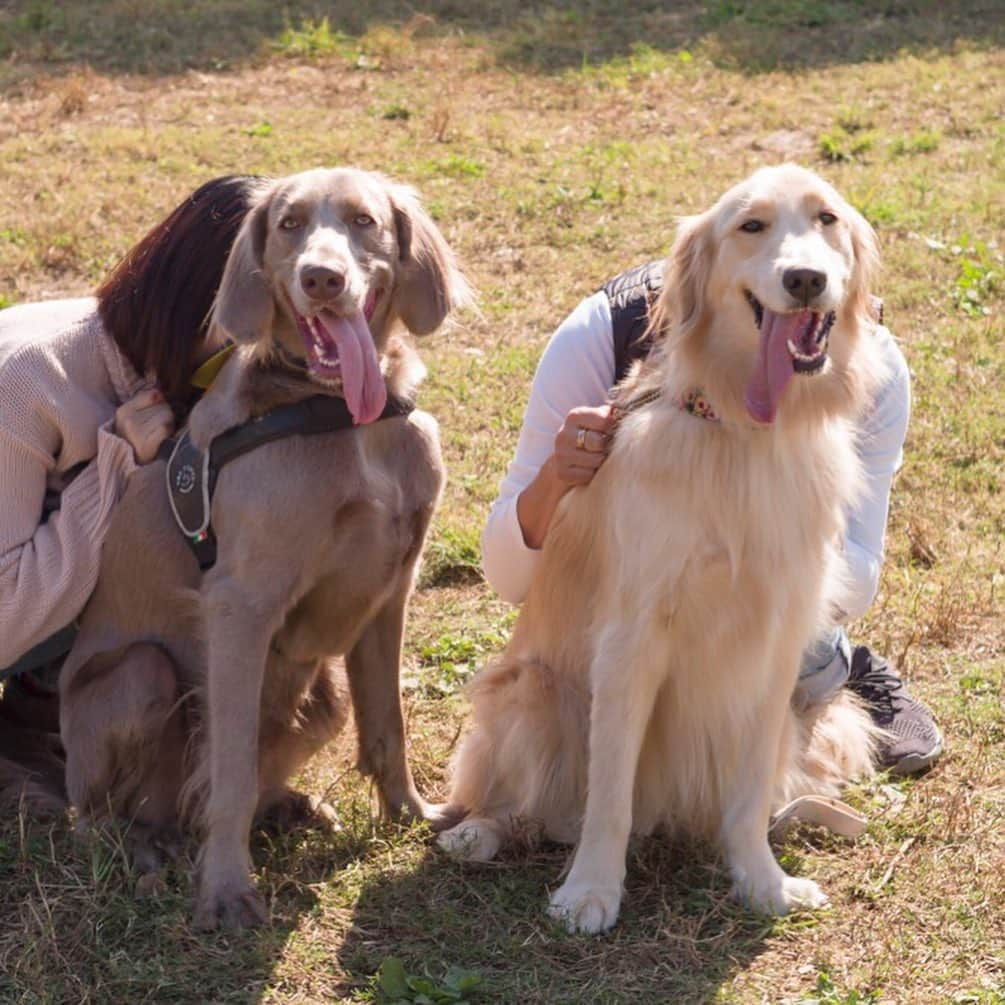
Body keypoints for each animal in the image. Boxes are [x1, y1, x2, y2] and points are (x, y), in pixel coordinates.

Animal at [15, 168, 468, 928]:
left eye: (364, 221)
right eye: (288, 225)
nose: (321, 278)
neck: (342, 414)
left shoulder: (391, 589)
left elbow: (388, 723)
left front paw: (411, 815)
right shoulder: (240, 605)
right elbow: (228, 767)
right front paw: (226, 889)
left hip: (323, 691)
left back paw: (285, 807)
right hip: (141, 676)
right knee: (108, 814)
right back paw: (145, 847)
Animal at [440, 162, 888, 932]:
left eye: (826, 219)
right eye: (751, 225)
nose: (803, 279)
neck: (742, 433)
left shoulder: (774, 643)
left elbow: (747, 797)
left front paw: (761, 881)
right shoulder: (632, 637)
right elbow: (609, 794)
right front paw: (590, 890)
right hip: (531, 691)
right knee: (514, 802)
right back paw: (479, 832)